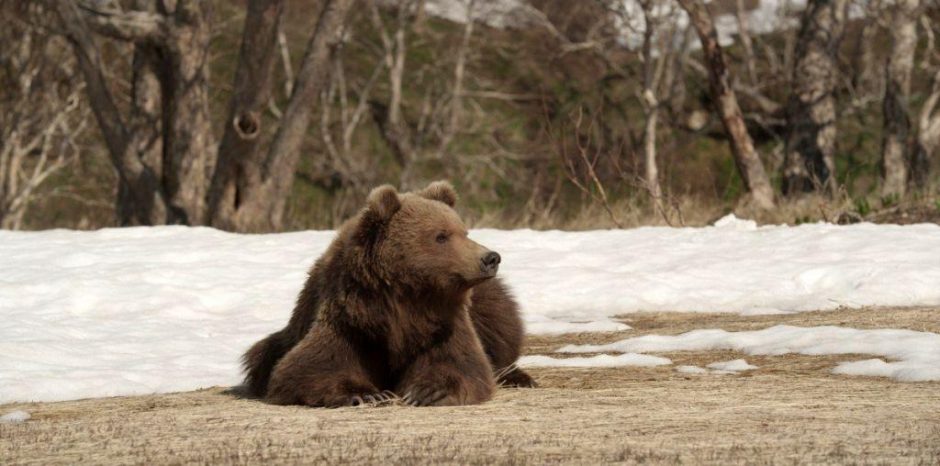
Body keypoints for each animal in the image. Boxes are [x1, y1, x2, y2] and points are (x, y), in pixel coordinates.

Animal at [242, 180, 536, 406]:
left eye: (464, 232)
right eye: (441, 236)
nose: (490, 258)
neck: (405, 301)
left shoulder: (444, 322)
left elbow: (461, 362)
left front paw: (429, 392)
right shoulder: (350, 320)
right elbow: (311, 365)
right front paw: (366, 394)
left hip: (488, 301)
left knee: (501, 325)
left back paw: (518, 377)